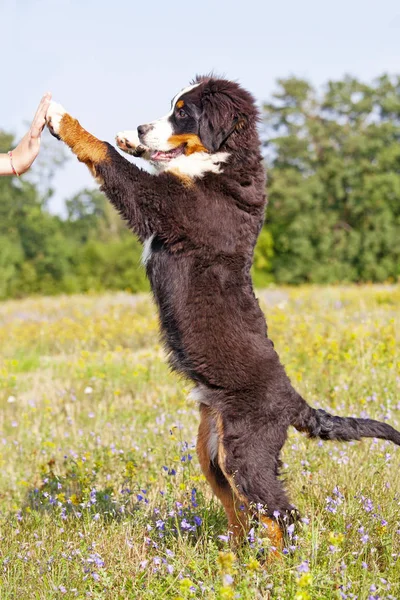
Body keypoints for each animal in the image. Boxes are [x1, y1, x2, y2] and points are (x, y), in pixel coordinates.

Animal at [47, 77, 400, 556]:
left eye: (183, 112)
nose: (140, 128)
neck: (223, 164)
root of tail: (293, 401)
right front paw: (129, 141)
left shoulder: (162, 203)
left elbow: (108, 158)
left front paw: (63, 119)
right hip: (211, 451)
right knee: (241, 512)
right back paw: (231, 559)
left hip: (246, 451)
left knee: (281, 515)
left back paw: (274, 567)